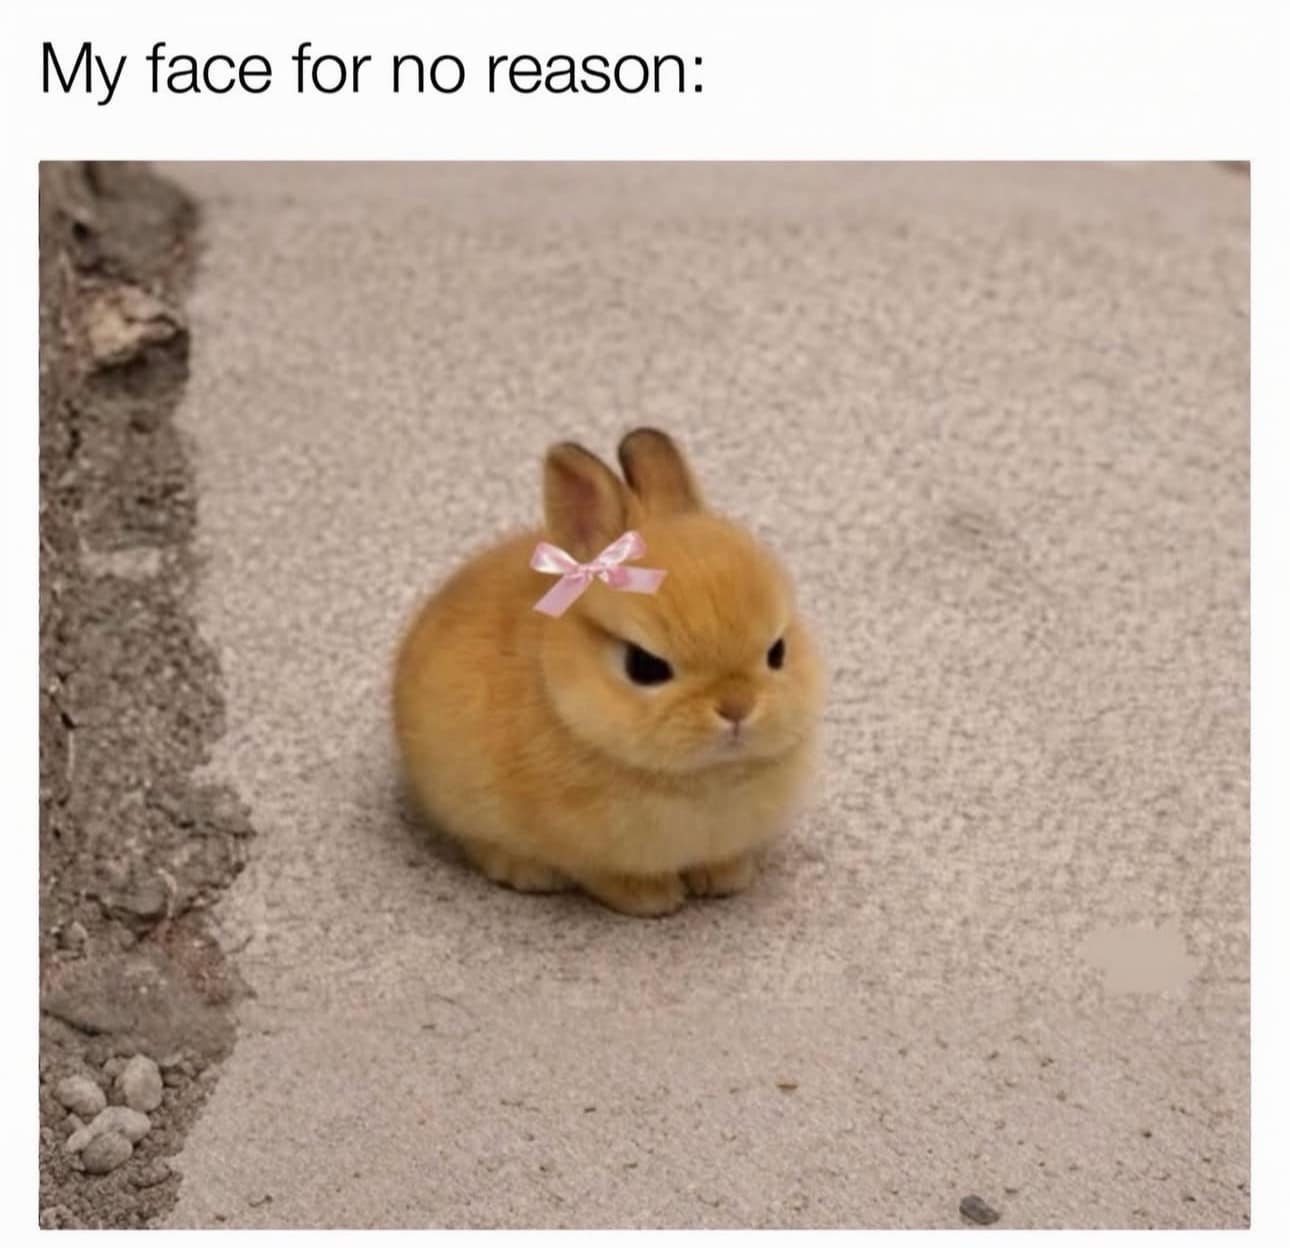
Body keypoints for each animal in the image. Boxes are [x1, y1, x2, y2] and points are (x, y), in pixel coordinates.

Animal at [391, 428, 824, 917]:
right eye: (645, 666)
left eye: (777, 651)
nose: (736, 707)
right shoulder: (588, 852)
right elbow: (607, 876)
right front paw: (653, 900)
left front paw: (724, 879)